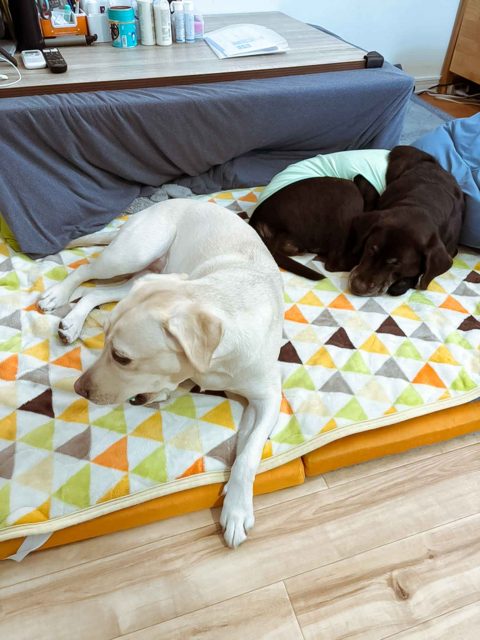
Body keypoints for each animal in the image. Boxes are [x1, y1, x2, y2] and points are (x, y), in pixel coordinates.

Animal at [38, 199, 284, 548]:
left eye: (121, 357)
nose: (78, 388)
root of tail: (164, 203)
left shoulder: (268, 397)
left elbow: (248, 452)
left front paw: (236, 507)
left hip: (148, 276)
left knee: (96, 293)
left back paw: (72, 319)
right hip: (135, 252)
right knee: (87, 272)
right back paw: (59, 295)